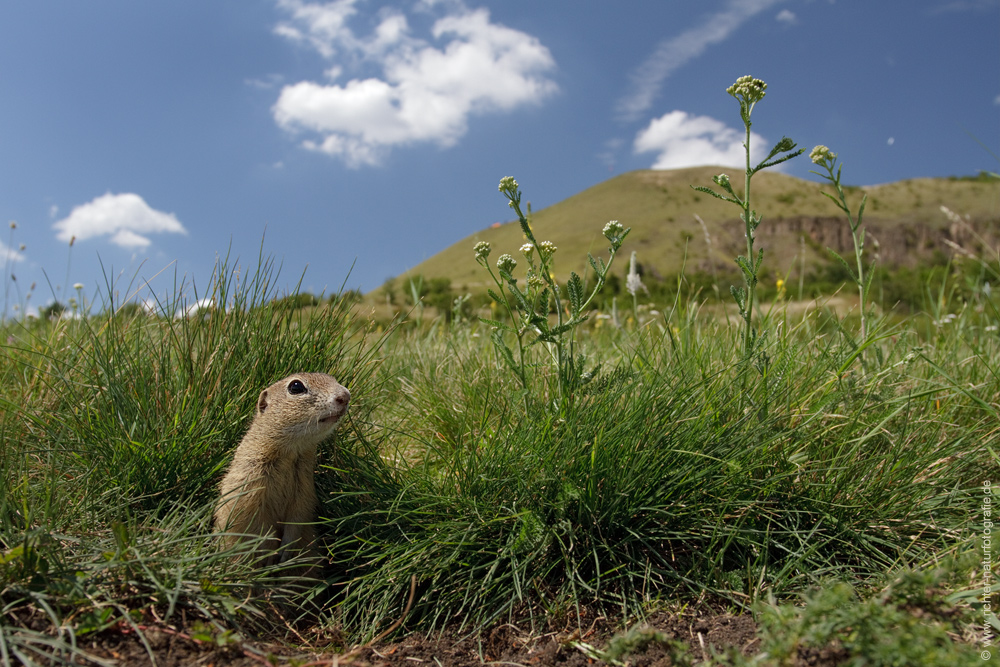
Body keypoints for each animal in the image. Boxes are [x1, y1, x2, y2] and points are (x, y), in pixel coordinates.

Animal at [213, 374, 350, 568]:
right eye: (296, 386)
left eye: (333, 378)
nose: (345, 396)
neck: (290, 454)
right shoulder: (249, 483)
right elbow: (255, 520)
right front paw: (268, 550)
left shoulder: (305, 488)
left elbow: (300, 515)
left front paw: (288, 548)